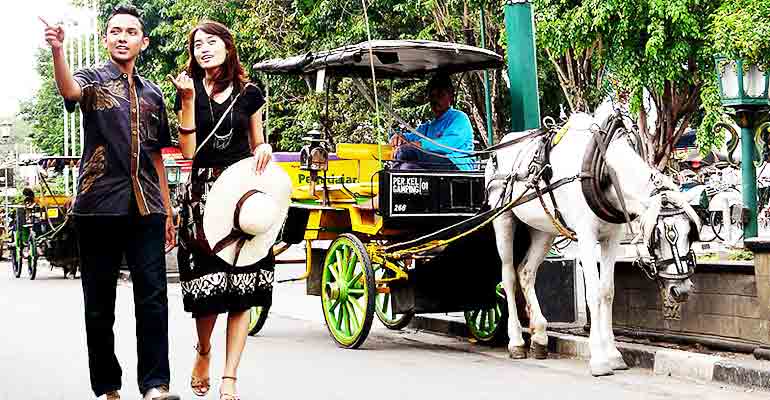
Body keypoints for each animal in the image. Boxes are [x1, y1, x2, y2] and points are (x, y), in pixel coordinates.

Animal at [486, 106, 704, 376]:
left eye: (689, 234)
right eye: (658, 236)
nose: (681, 291)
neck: (603, 170)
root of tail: (499, 148)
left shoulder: (612, 237)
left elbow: (607, 291)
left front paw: (613, 354)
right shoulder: (586, 236)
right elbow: (593, 293)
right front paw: (599, 358)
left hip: (544, 229)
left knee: (526, 272)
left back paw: (539, 337)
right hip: (503, 219)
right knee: (508, 276)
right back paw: (516, 341)